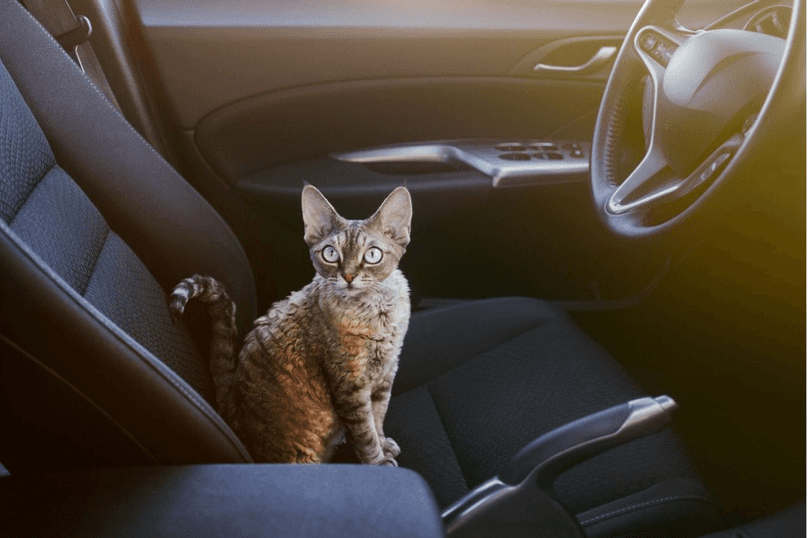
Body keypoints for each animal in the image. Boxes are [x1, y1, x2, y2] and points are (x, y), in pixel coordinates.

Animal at [169, 185, 410, 464]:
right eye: (330, 253)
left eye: (373, 255)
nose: (348, 276)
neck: (378, 312)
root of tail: (231, 412)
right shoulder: (349, 386)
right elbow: (365, 433)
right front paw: (378, 461)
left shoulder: (387, 372)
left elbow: (378, 416)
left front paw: (384, 444)